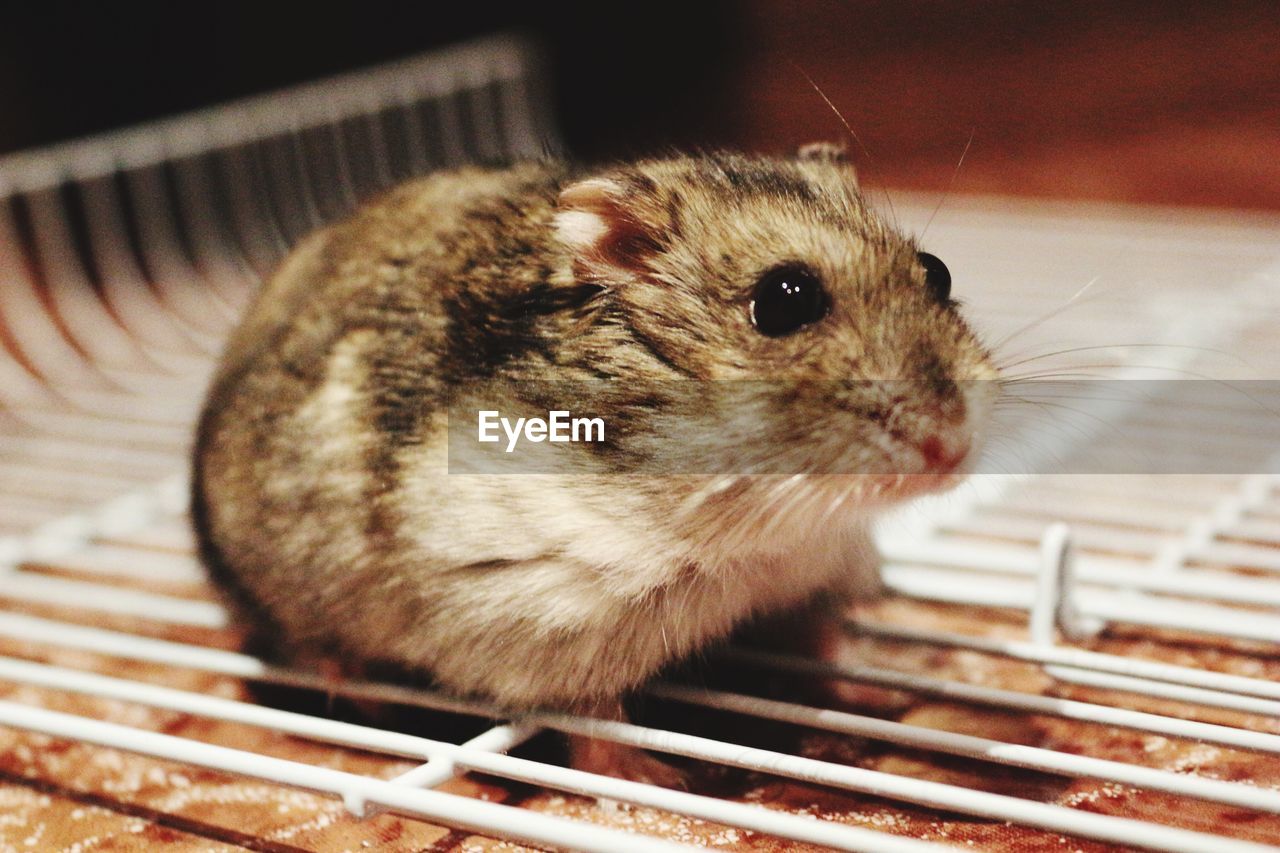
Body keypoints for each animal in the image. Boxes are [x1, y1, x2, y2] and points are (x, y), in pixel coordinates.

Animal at [189, 142, 993, 778]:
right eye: (784, 299)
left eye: (938, 271)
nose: (950, 447)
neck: (753, 525)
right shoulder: (545, 615)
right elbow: (594, 717)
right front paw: (661, 779)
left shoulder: (818, 570)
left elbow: (825, 645)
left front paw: (892, 687)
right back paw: (349, 682)